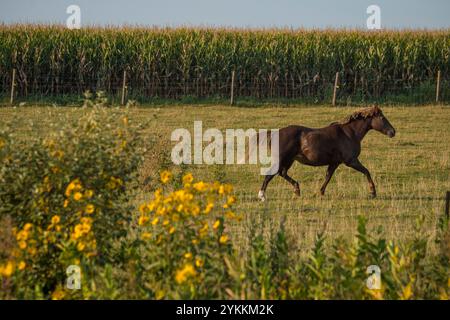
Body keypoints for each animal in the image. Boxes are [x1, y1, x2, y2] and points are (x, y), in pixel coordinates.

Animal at [258, 105, 396, 201]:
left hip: (289, 160)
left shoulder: (335, 163)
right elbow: (366, 171)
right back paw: (262, 196)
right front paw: (373, 192)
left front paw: (320, 192)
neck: (349, 133)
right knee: (270, 175)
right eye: (382, 117)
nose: (393, 132)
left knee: (282, 173)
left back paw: (297, 190)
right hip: (282, 159)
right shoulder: (351, 161)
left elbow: (328, 177)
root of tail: (274, 133)